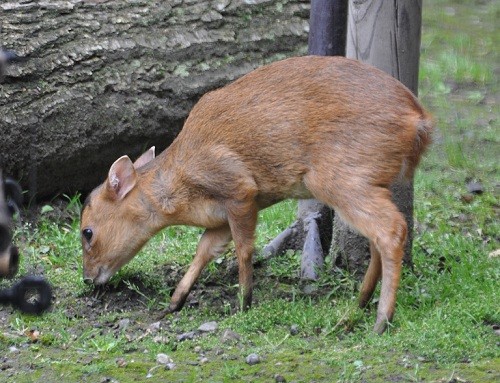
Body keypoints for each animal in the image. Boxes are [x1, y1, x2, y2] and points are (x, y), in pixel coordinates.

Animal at [80, 55, 432, 334]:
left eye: (87, 232)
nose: (87, 278)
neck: (184, 185)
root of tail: (419, 121)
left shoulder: (239, 190)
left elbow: (244, 249)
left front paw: (244, 302)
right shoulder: (220, 218)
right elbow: (204, 250)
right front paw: (173, 303)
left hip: (342, 177)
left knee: (391, 229)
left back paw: (380, 319)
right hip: (365, 182)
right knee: (378, 237)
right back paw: (359, 305)